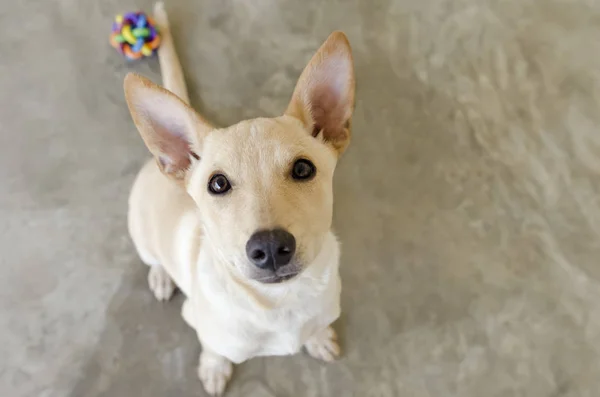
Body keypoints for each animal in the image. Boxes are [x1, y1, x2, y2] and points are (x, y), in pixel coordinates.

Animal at [123, 3, 354, 392]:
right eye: (217, 184)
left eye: (303, 169)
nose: (271, 247)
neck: (279, 303)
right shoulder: (201, 323)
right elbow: (213, 348)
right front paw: (215, 368)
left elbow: (317, 326)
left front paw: (318, 337)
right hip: (141, 233)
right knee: (153, 258)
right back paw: (161, 277)